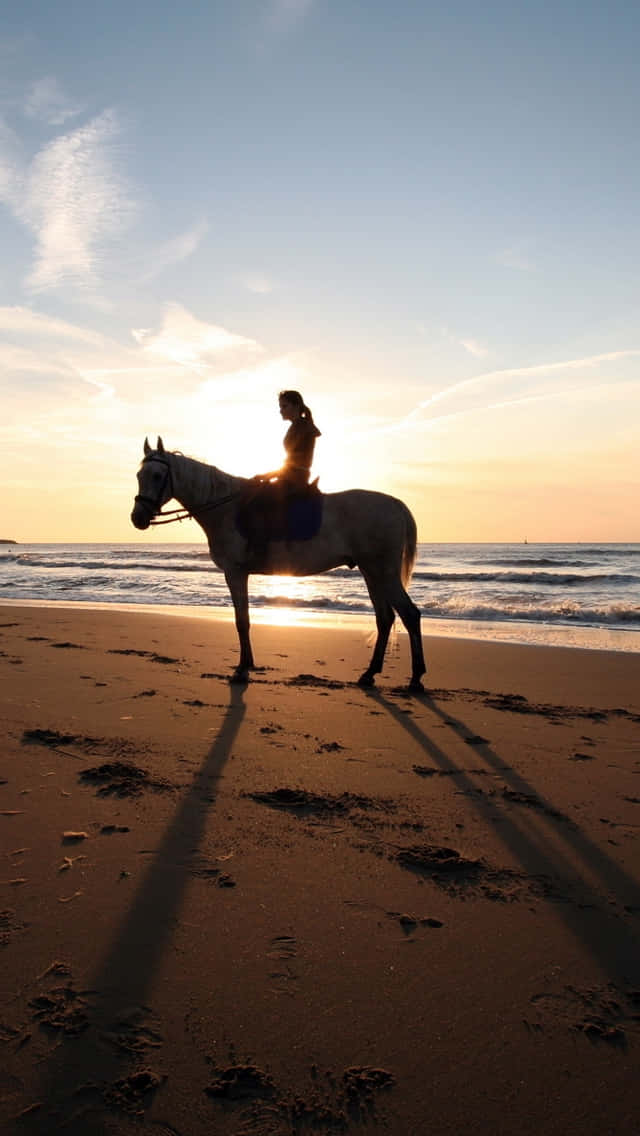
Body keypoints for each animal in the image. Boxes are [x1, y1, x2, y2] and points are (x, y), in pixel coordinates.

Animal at [131, 437, 426, 691]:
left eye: (157, 476)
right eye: (138, 476)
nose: (138, 518)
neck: (226, 508)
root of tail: (396, 504)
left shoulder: (235, 572)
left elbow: (242, 621)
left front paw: (242, 670)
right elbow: (244, 619)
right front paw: (248, 664)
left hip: (383, 572)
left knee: (409, 614)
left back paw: (416, 678)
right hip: (371, 572)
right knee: (385, 618)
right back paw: (370, 673)